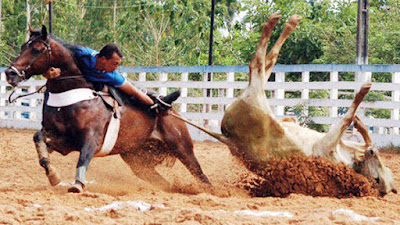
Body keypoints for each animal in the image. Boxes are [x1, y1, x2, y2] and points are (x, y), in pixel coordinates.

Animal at [5, 25, 209, 192]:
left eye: (36, 49)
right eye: (23, 47)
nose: (10, 73)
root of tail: (172, 111)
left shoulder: (91, 138)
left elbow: (84, 158)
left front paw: (77, 184)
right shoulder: (64, 140)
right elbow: (38, 140)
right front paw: (53, 175)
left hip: (182, 147)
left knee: (201, 175)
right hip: (137, 160)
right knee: (164, 183)